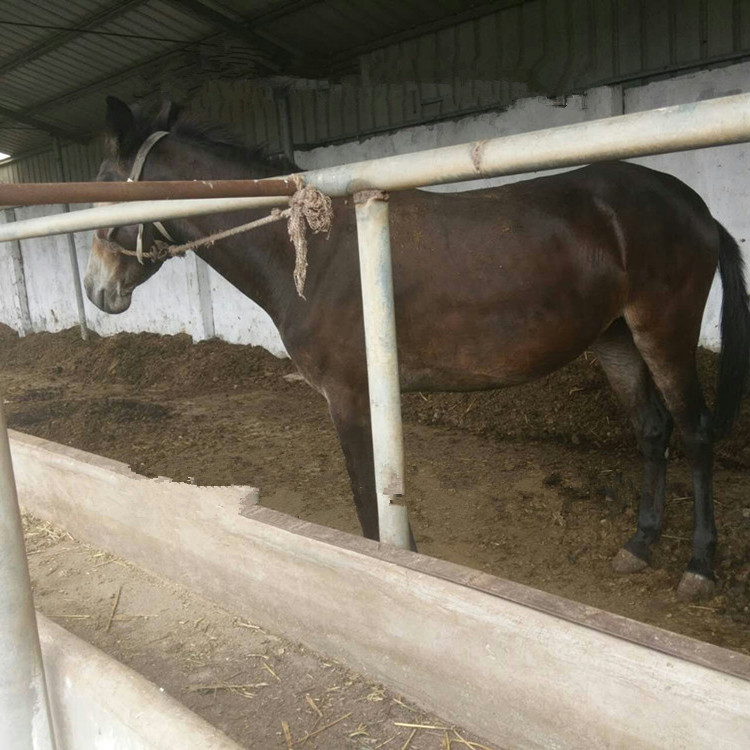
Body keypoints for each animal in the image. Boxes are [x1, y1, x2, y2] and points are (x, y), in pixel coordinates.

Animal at [85, 96, 750, 602]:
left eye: (102, 190)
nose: (96, 290)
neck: (318, 253)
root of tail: (694, 207)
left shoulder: (349, 397)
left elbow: (369, 502)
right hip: (616, 338)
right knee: (652, 430)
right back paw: (639, 544)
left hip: (664, 329)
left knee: (694, 433)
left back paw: (699, 567)